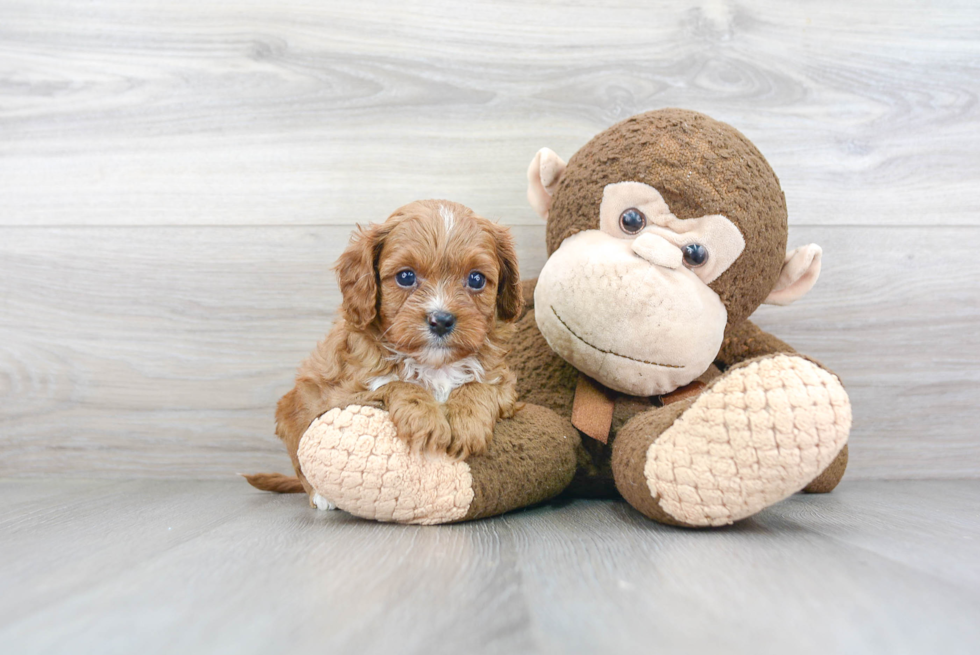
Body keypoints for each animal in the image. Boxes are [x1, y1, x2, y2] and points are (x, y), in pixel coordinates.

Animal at [245, 197, 524, 500]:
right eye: (405, 277)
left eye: (476, 279)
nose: (441, 320)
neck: (433, 364)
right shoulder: (341, 396)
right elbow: (397, 384)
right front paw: (425, 418)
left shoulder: (503, 383)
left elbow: (478, 384)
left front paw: (467, 421)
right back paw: (320, 497)